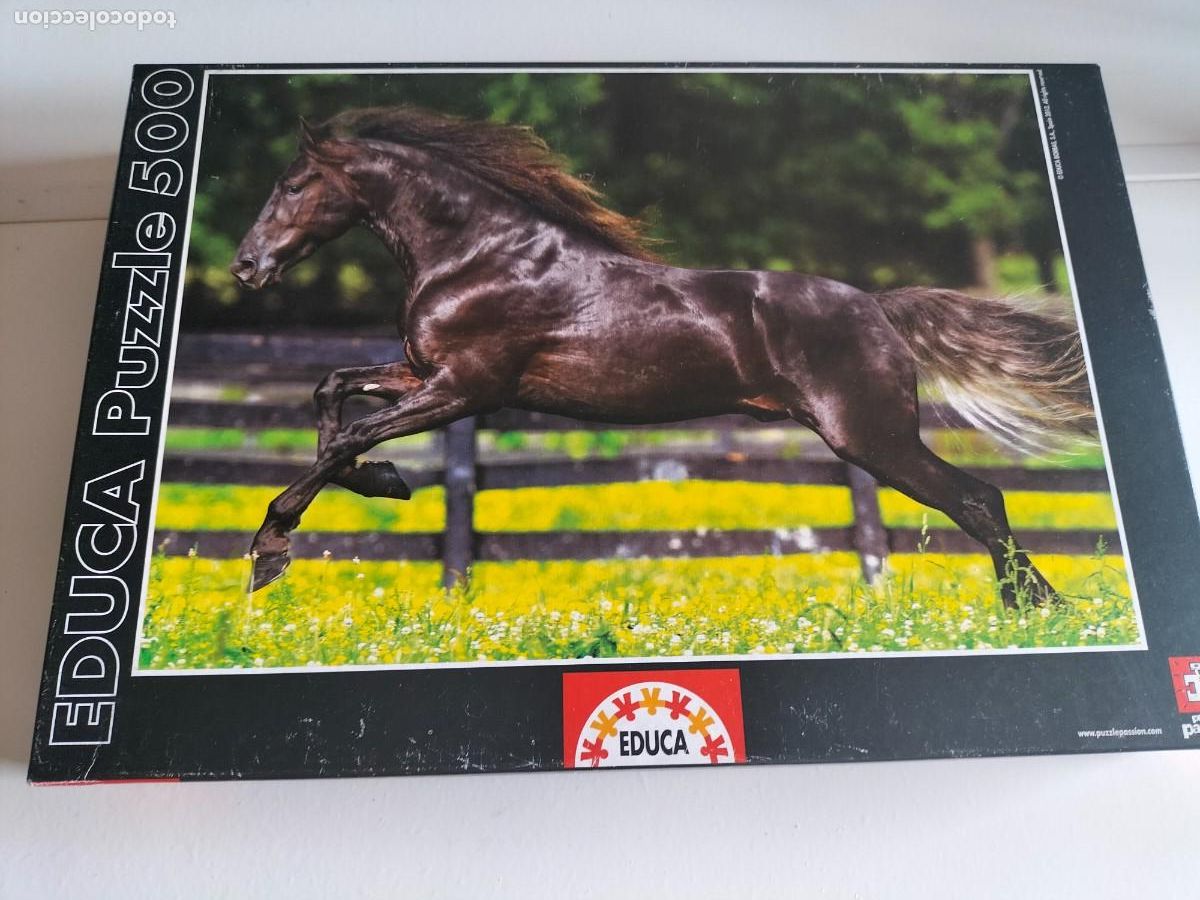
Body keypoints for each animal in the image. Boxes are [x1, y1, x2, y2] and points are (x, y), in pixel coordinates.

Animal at [229, 106, 1096, 606]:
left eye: (296, 184)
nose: (246, 267)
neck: (479, 256)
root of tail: (877, 305)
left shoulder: (468, 386)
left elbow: (344, 432)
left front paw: (271, 551)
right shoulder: (423, 372)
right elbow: (330, 393)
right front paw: (382, 482)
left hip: (872, 437)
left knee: (978, 499)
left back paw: (1039, 609)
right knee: (978, 500)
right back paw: (1036, 606)